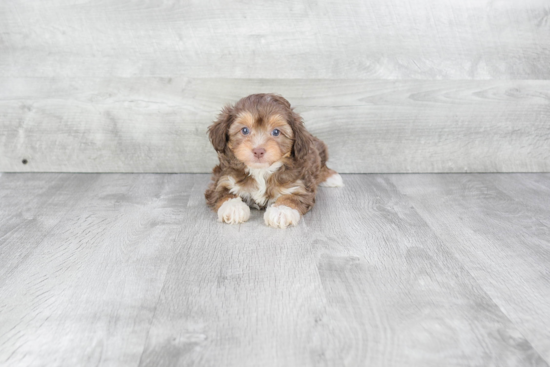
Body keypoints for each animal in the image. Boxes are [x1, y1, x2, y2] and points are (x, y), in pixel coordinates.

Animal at [205, 93, 342, 229]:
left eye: (276, 132)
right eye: (244, 130)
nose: (258, 151)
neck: (261, 171)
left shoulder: (299, 185)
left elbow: (292, 197)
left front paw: (281, 211)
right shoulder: (223, 178)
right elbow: (223, 194)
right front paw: (233, 207)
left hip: (319, 149)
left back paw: (332, 177)